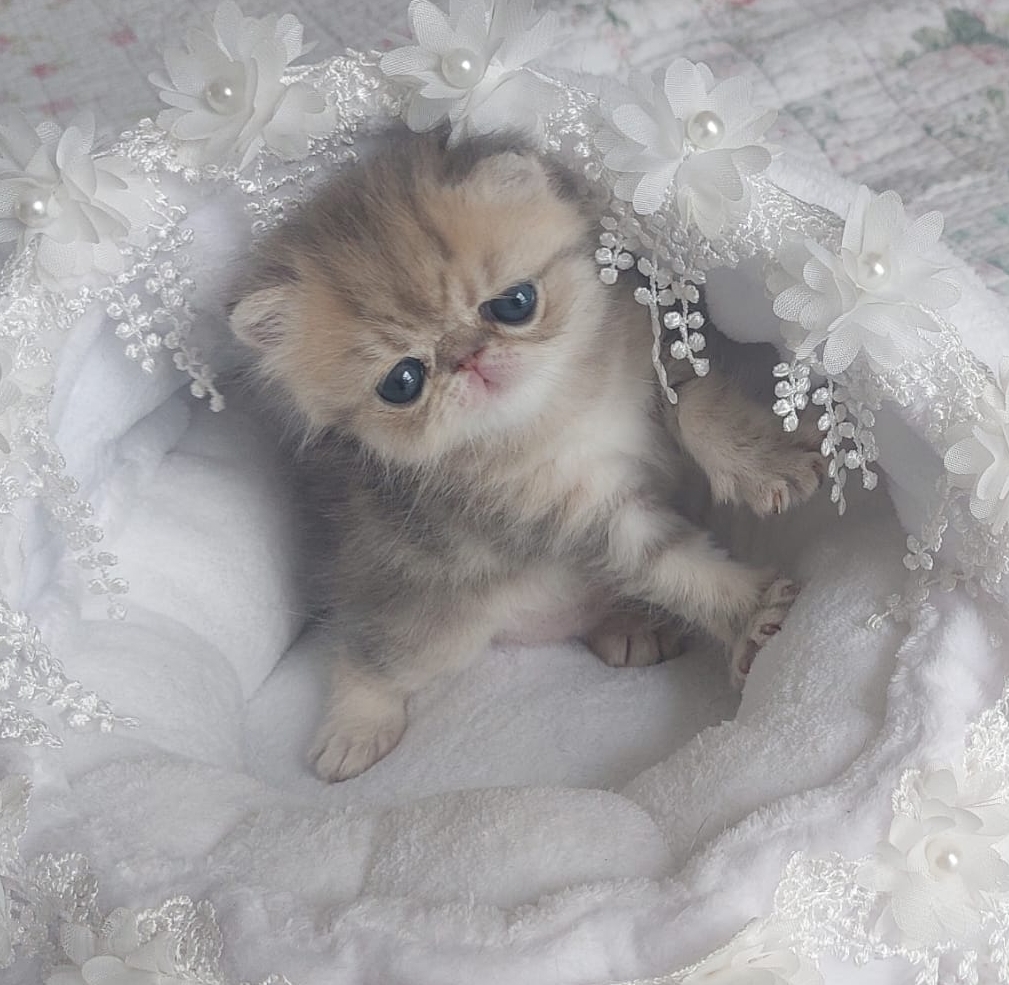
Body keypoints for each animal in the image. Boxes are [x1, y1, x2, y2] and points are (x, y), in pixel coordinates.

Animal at [228, 128, 823, 782]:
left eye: (514, 303)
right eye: (402, 381)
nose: (468, 358)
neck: (556, 412)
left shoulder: (658, 361)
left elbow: (696, 407)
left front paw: (767, 463)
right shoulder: (577, 514)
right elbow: (676, 567)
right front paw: (753, 617)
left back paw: (632, 625)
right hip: (429, 620)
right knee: (369, 654)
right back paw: (354, 728)